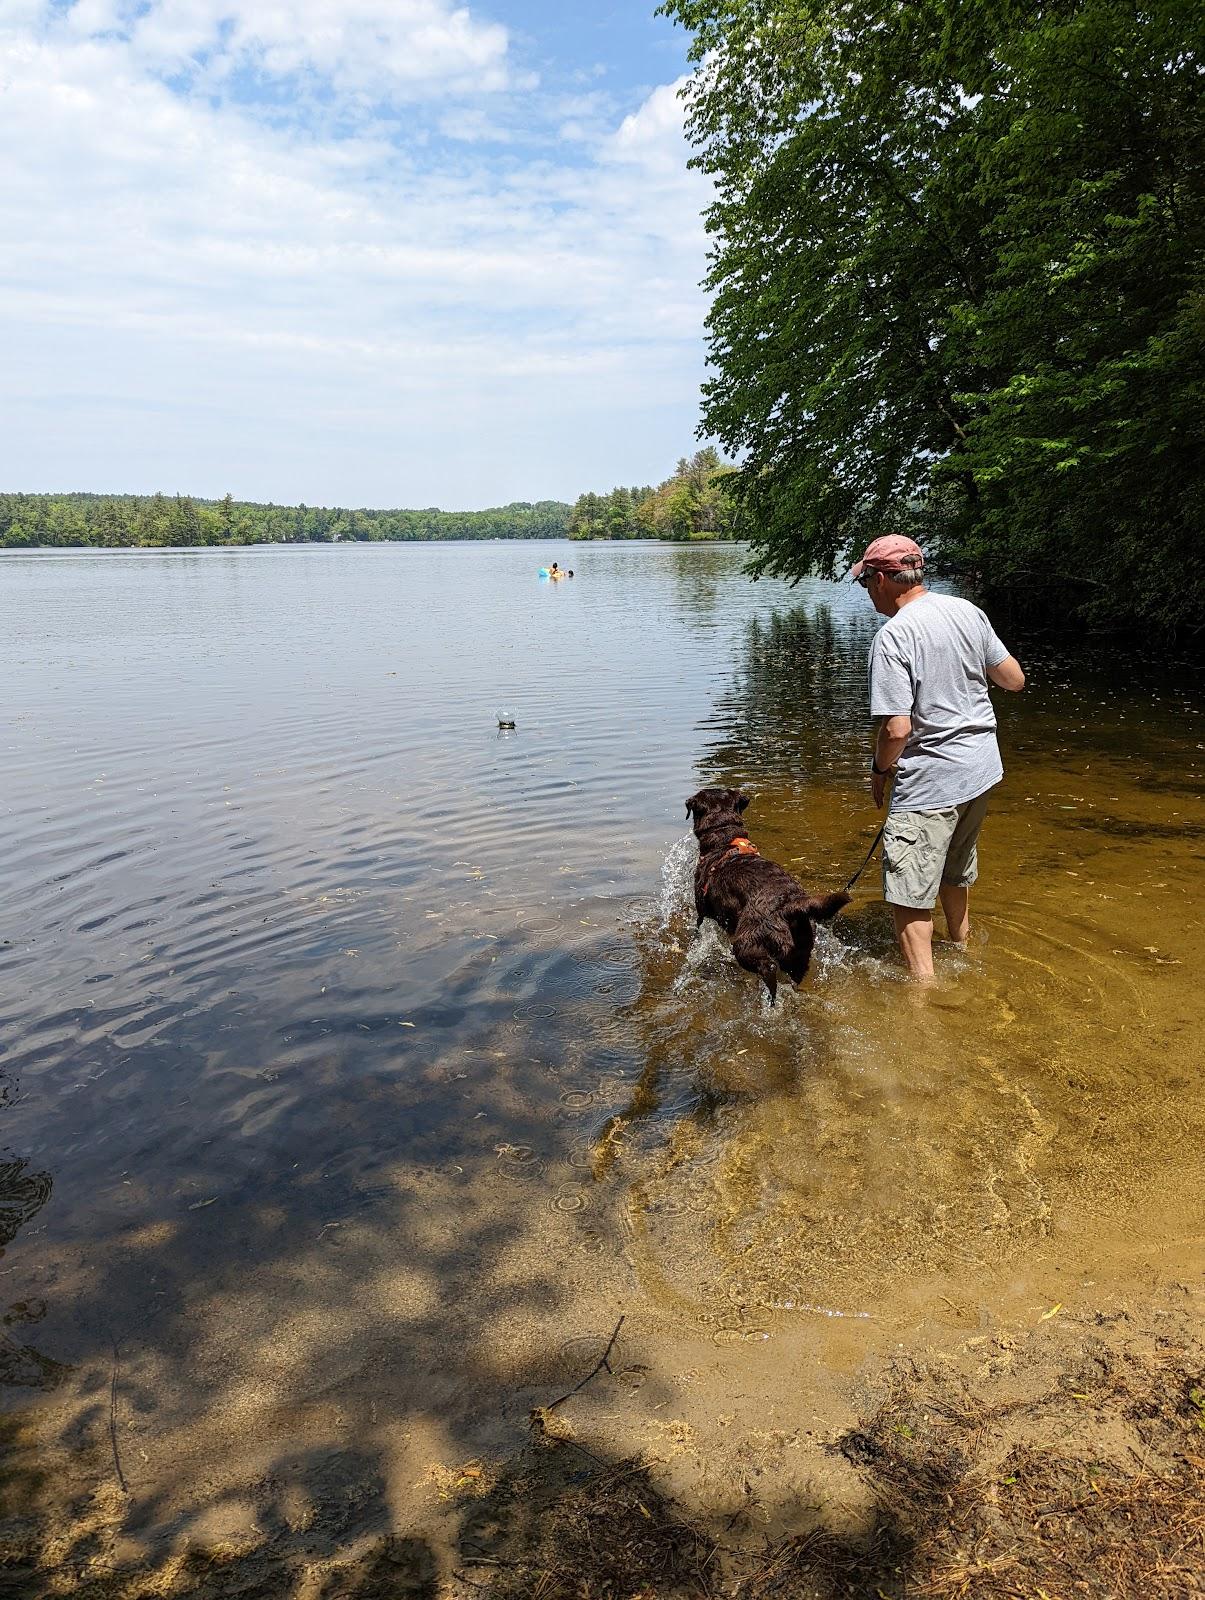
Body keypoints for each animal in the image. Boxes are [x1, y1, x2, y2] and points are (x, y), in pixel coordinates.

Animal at [684, 787, 844, 998]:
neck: (725, 842)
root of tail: (789, 905)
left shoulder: (701, 912)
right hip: (801, 954)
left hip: (746, 943)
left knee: (766, 966)